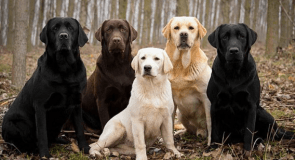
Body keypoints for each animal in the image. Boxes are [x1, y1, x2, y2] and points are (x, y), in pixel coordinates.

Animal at [1, 17, 89, 158]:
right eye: (55, 28)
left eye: (71, 28)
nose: (63, 36)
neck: (65, 68)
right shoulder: (40, 106)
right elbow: (42, 134)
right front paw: (44, 155)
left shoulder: (77, 103)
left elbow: (80, 129)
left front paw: (85, 148)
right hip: (15, 124)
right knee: (18, 143)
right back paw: (30, 150)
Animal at [162, 16, 213, 145]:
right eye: (176, 28)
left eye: (191, 28)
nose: (184, 34)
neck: (181, 64)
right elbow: (169, 123)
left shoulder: (206, 97)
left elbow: (210, 123)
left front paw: (210, 144)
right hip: (181, 114)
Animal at [208, 23, 295, 154]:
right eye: (224, 37)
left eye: (242, 36)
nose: (234, 51)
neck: (233, 73)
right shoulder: (215, 105)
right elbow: (215, 129)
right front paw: (213, 147)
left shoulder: (251, 106)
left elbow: (249, 131)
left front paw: (247, 151)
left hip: (264, 115)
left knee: (272, 135)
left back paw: (259, 141)